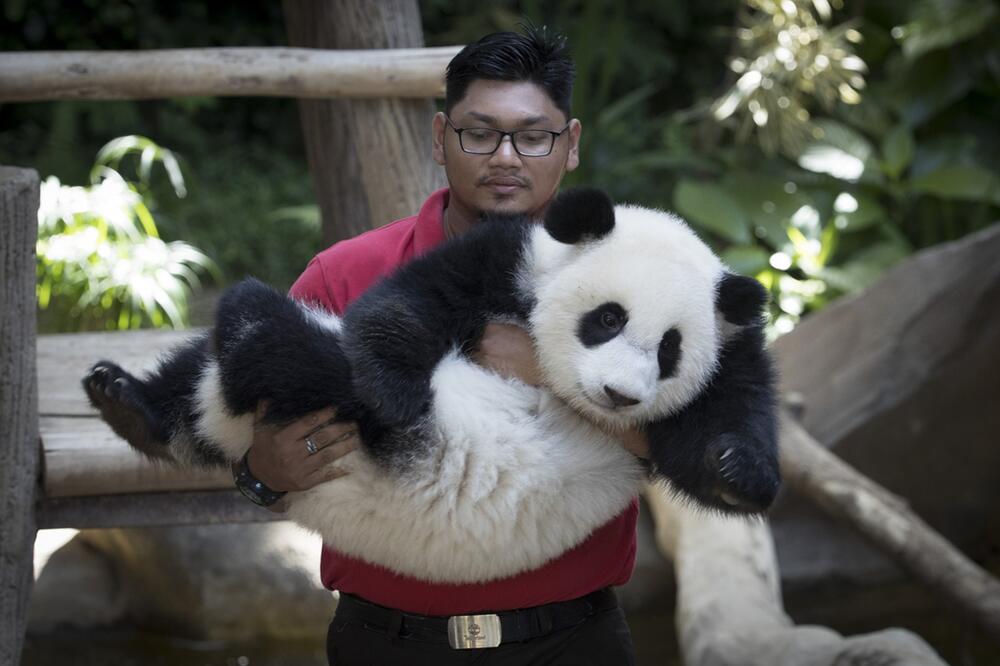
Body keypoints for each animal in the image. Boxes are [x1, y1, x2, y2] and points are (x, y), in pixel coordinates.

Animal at [82, 185, 776, 580]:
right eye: (608, 318)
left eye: (669, 349)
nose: (620, 396)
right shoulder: (508, 257)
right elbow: (412, 303)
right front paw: (395, 386)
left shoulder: (729, 355)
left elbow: (713, 437)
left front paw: (738, 470)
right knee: (266, 354)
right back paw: (135, 397)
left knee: (277, 358)